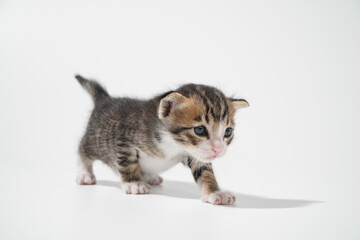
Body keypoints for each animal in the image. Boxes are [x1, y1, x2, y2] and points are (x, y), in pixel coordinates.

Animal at [74, 74, 248, 204]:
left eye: (228, 132)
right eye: (199, 130)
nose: (218, 149)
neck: (172, 142)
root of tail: (105, 99)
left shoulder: (195, 154)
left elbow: (204, 171)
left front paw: (215, 192)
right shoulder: (124, 139)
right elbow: (127, 162)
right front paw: (133, 182)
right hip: (95, 140)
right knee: (82, 150)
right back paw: (85, 174)